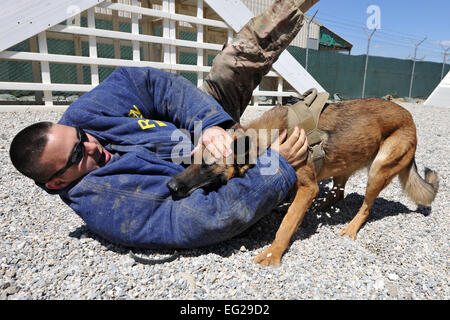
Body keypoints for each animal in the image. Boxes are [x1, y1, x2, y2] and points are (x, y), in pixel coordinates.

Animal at [167, 99, 438, 266]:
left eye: (207, 165)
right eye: (191, 160)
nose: (170, 186)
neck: (268, 140)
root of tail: (410, 117)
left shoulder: (308, 188)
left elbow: (287, 223)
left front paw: (273, 253)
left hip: (378, 170)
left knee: (366, 208)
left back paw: (350, 228)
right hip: (343, 163)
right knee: (338, 193)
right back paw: (322, 207)